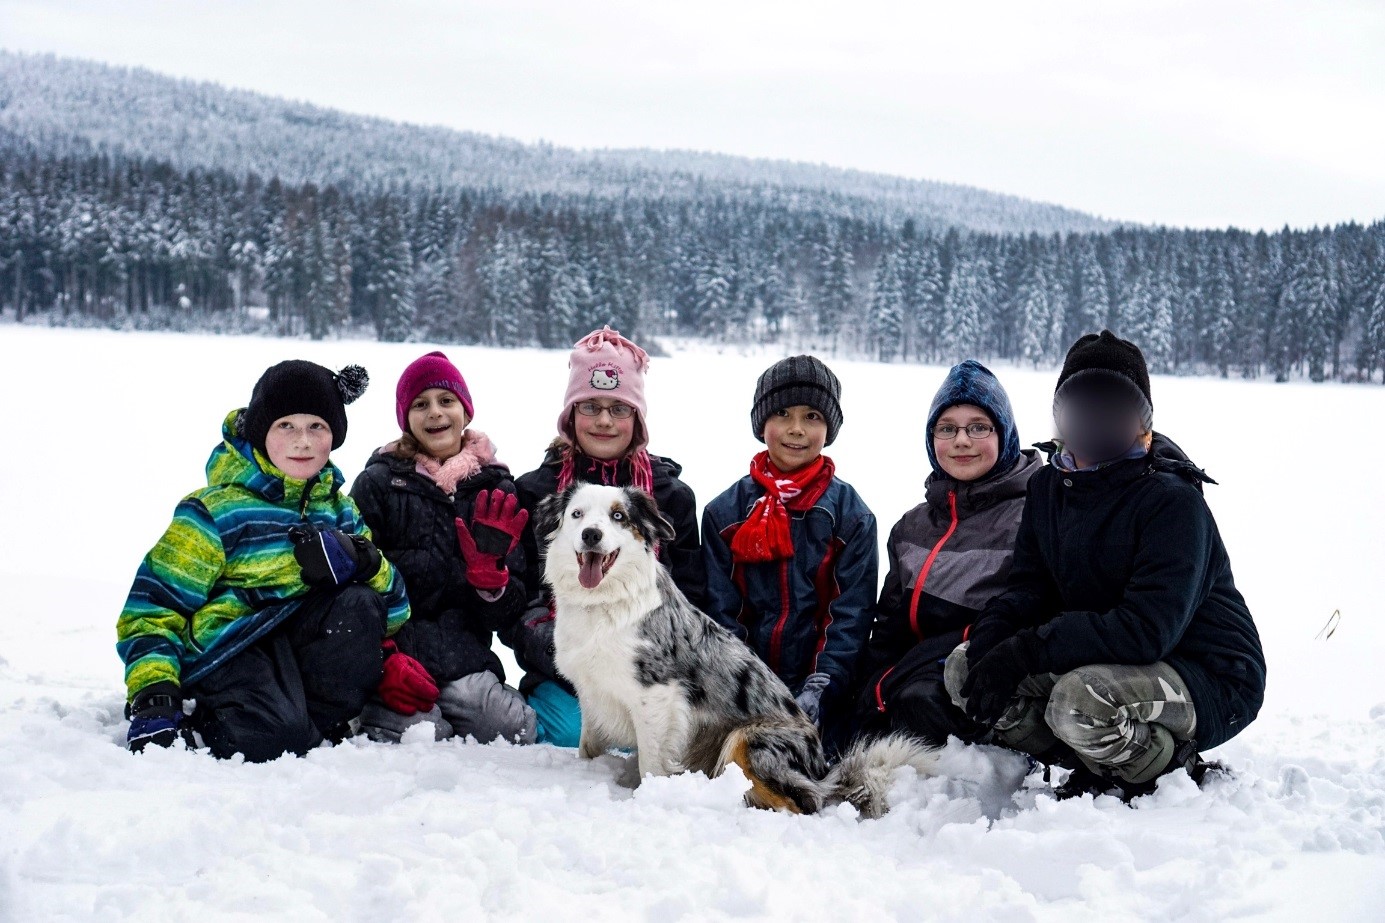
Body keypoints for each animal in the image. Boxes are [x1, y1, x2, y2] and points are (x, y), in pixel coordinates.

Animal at [534, 482, 936, 814]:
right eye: (577, 514)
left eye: (618, 516)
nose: (591, 534)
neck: (603, 603)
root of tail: (821, 768)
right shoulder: (592, 692)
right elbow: (588, 746)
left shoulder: (657, 696)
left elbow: (651, 762)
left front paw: (646, 797)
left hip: (748, 740)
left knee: (802, 803)